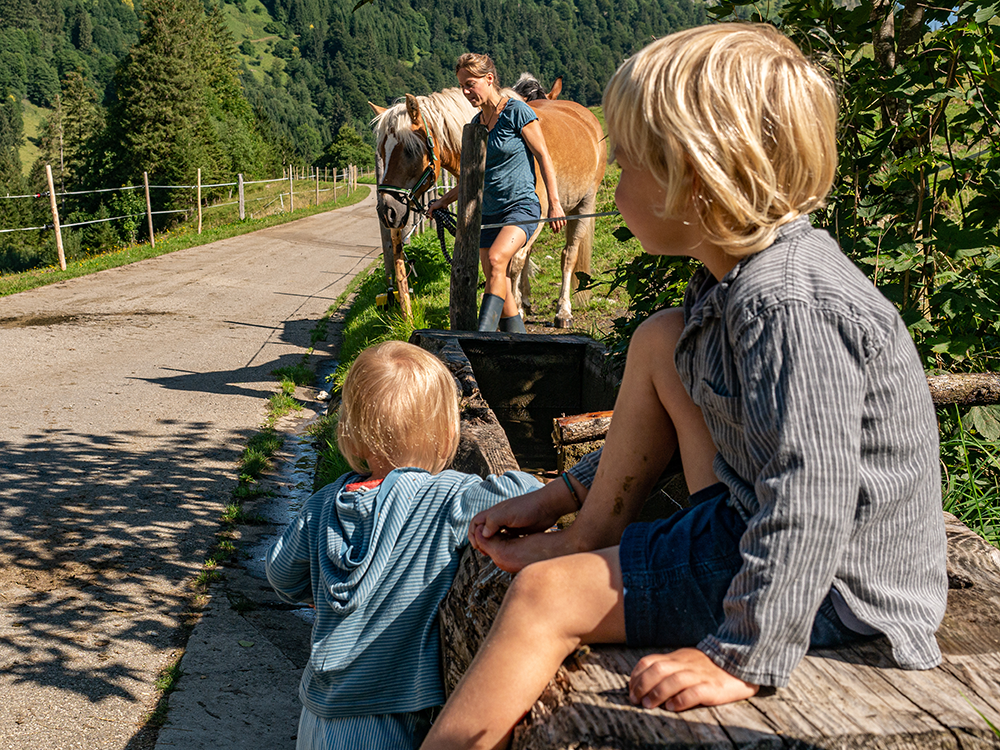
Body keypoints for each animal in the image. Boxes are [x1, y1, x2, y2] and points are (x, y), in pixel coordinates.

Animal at [368, 77, 600, 332]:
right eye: (381, 152)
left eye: (410, 151)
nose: (387, 211)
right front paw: (518, 304)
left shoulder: (533, 218)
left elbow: (515, 263)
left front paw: (517, 309)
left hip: (584, 205)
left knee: (568, 255)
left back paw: (563, 311)